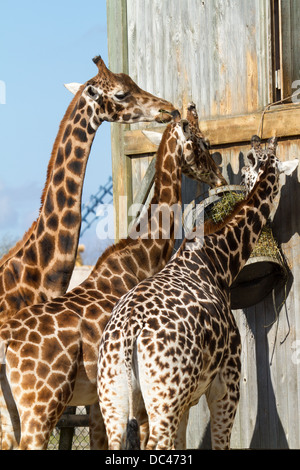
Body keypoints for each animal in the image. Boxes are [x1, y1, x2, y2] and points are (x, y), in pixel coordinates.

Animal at [0, 108, 227, 450]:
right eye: (203, 142)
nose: (220, 178)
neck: (139, 260)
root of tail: (5, 344)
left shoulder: (98, 399)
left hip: (10, 411)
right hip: (41, 404)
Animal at [96, 141, 298, 450]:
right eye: (274, 168)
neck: (218, 258)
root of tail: (128, 334)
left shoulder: (187, 403)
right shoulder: (226, 384)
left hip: (114, 400)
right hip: (164, 399)